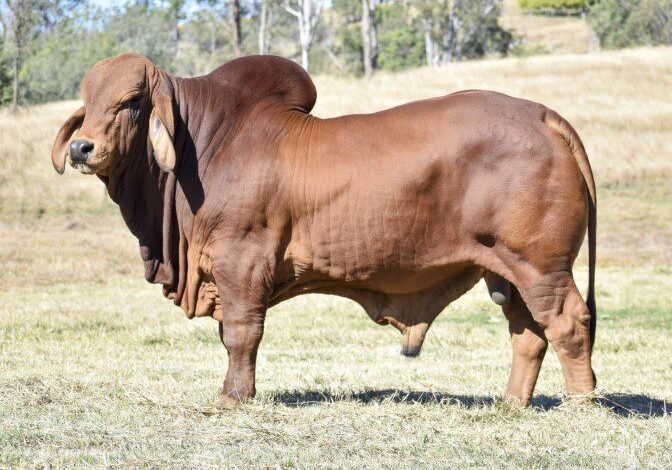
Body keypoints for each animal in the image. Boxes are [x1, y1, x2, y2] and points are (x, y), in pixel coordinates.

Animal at [52, 53, 597, 406]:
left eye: (132, 102)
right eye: (88, 101)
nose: (82, 147)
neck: (203, 147)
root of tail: (543, 116)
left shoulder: (240, 260)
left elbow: (241, 334)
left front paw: (234, 397)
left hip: (542, 267)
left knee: (569, 323)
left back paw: (581, 404)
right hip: (506, 271)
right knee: (529, 335)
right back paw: (511, 403)